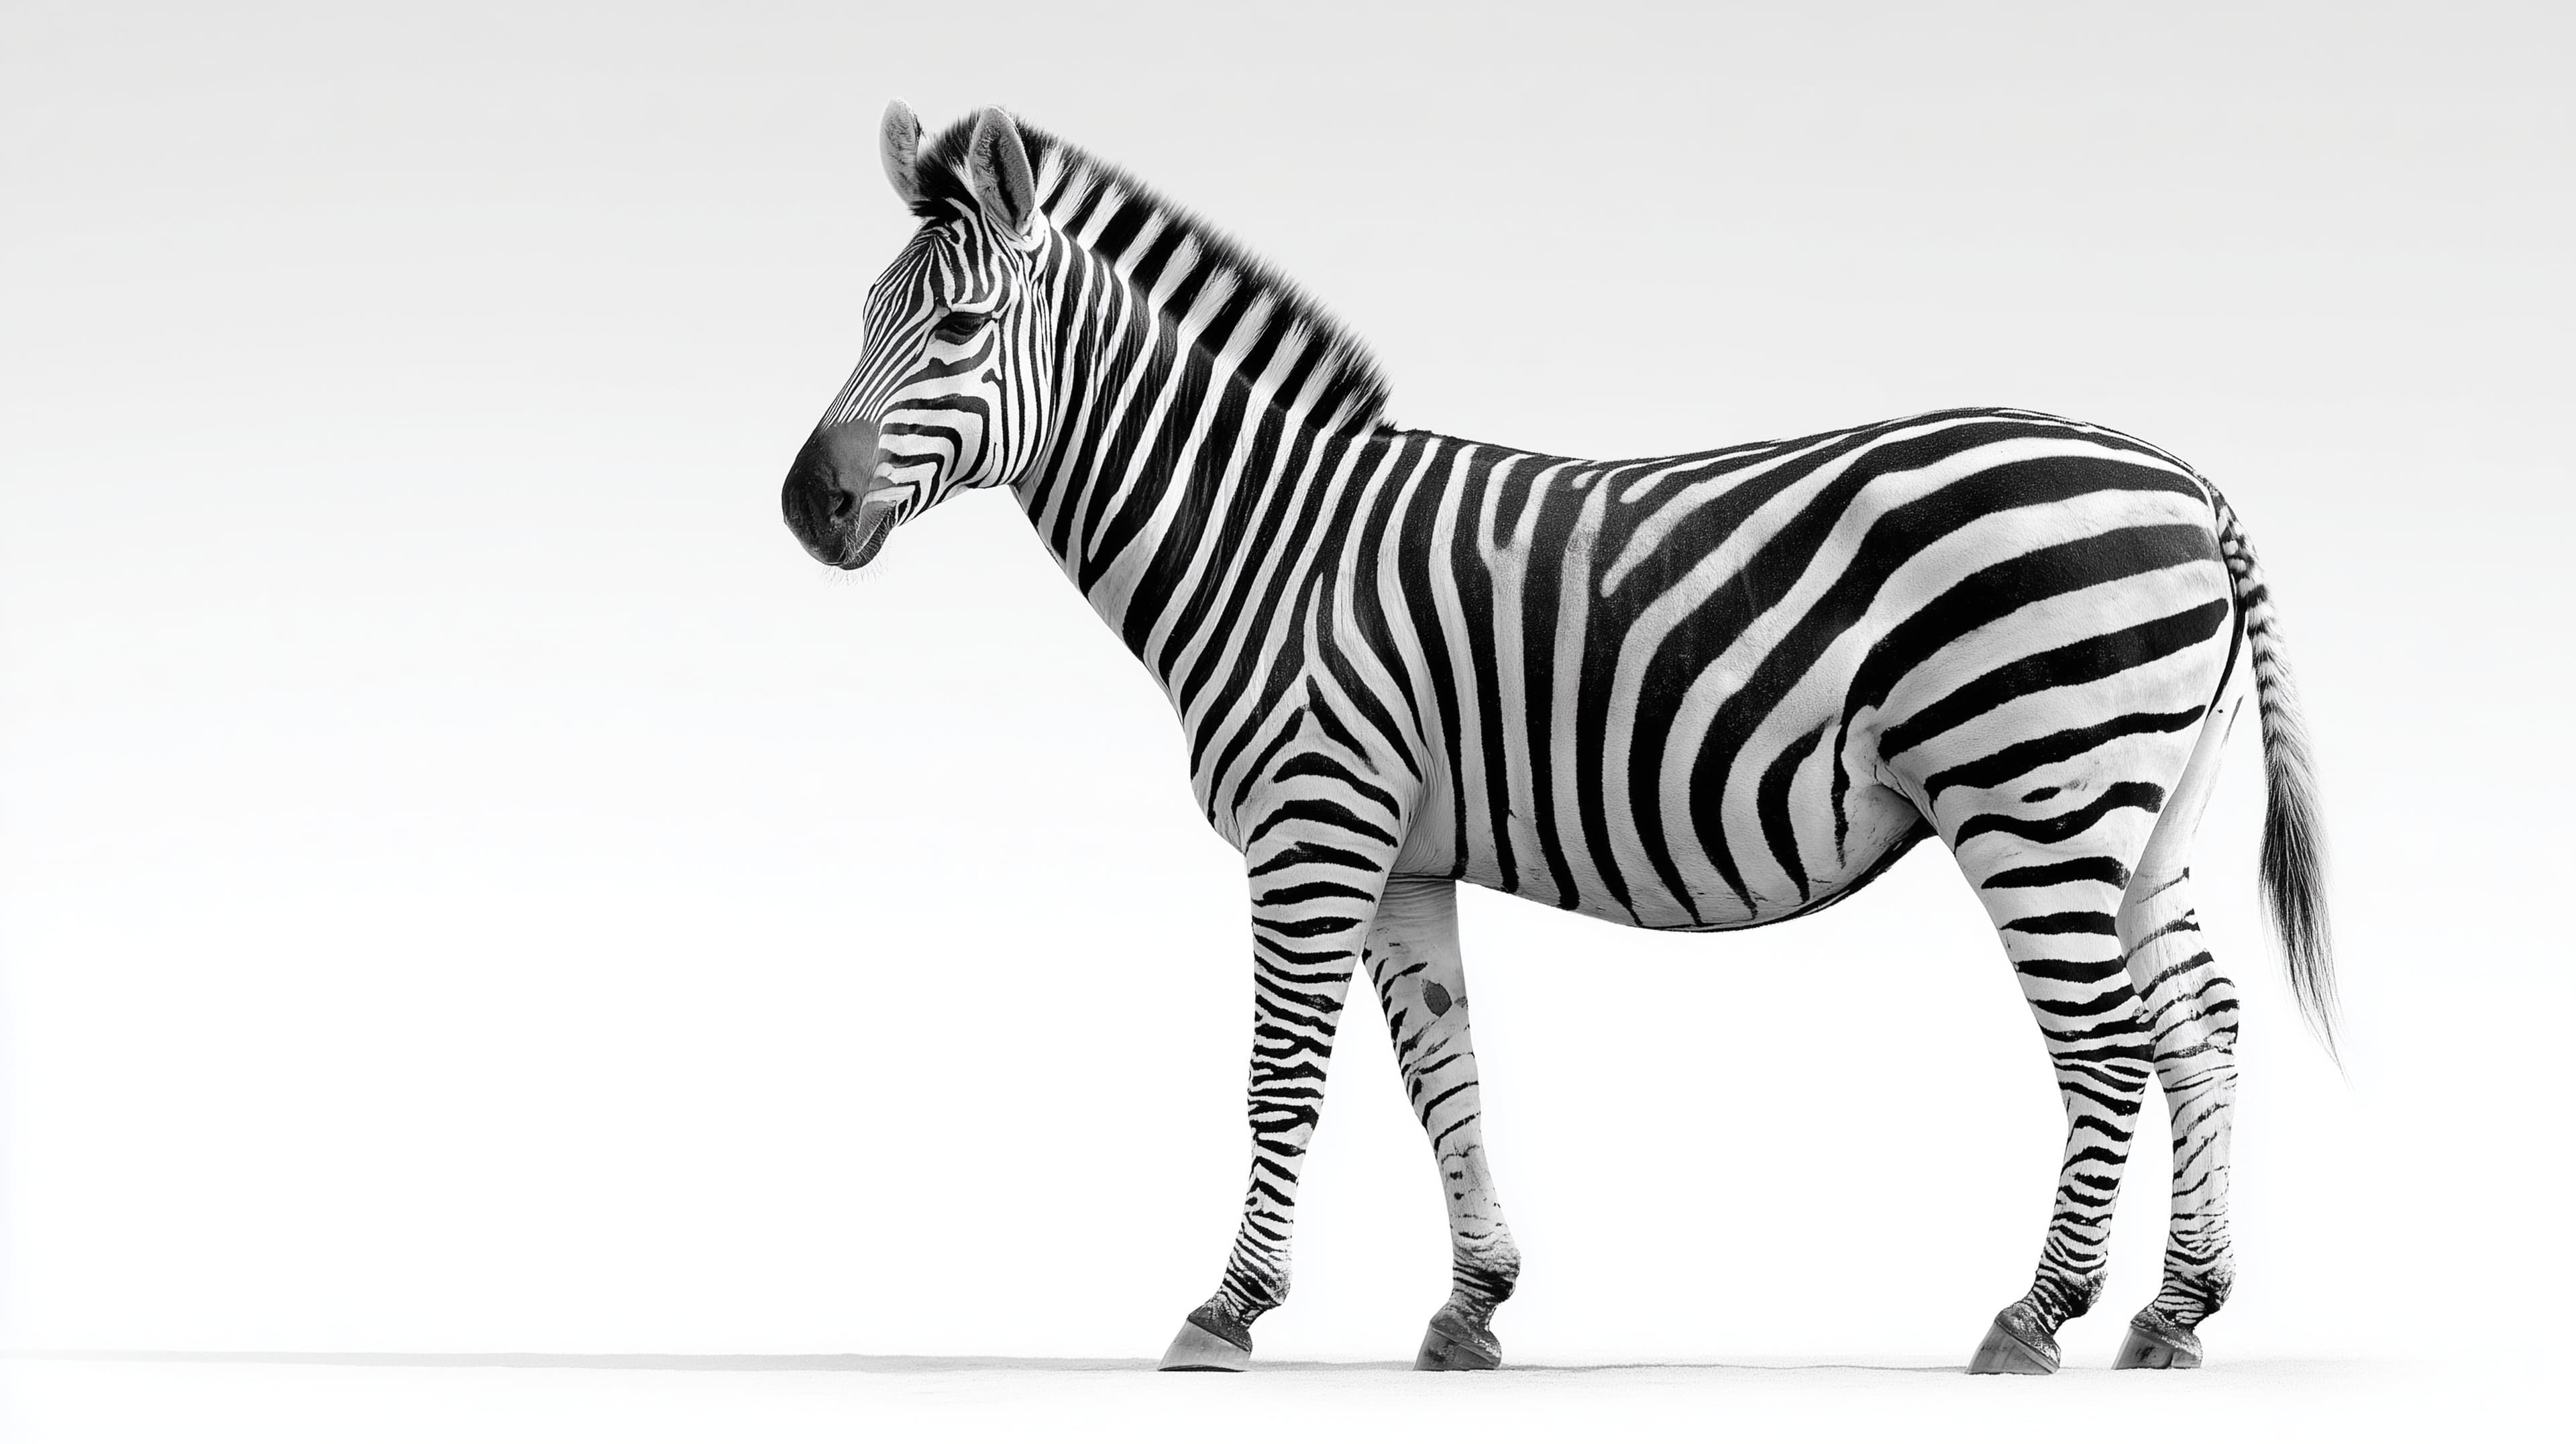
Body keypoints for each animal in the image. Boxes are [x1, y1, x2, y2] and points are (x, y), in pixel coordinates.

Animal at [779, 103, 2337, 1376]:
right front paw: (1473, 1304)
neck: (1267, 545)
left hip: (2034, 786)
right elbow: (1445, 1075)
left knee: (2109, 1043)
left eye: (960, 334)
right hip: (2146, 811)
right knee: (2204, 1023)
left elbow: (1281, 1079)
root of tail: (2190, 482)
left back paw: (2034, 1318)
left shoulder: (1313, 824)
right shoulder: (1402, 854)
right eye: (860, 316)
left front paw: (1226, 1311)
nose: (806, 507)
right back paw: (2175, 1313)